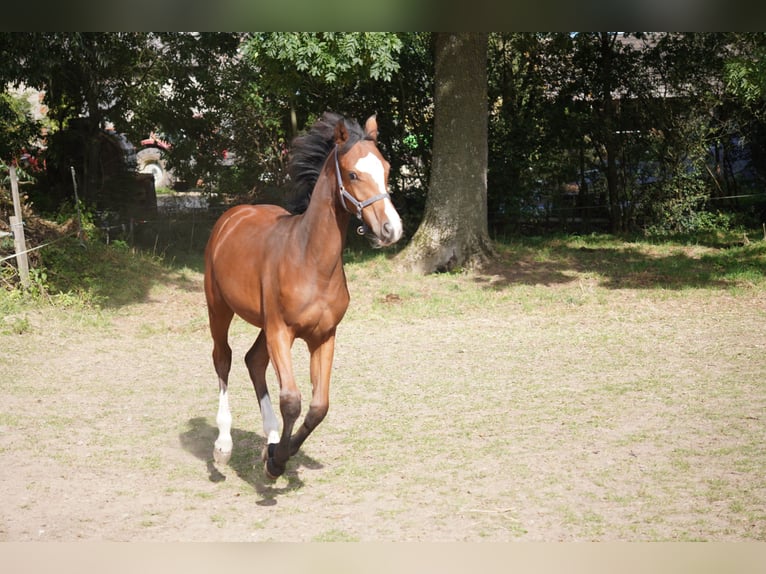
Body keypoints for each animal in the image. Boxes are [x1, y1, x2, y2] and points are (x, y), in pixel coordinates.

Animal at [204, 112, 408, 482]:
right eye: (353, 174)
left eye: (386, 168)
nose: (391, 229)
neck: (310, 260)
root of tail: (233, 215)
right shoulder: (281, 331)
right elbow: (292, 400)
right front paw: (277, 462)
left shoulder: (323, 336)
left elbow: (317, 406)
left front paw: (275, 453)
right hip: (219, 308)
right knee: (223, 359)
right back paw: (223, 447)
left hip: (263, 325)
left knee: (254, 361)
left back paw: (269, 437)